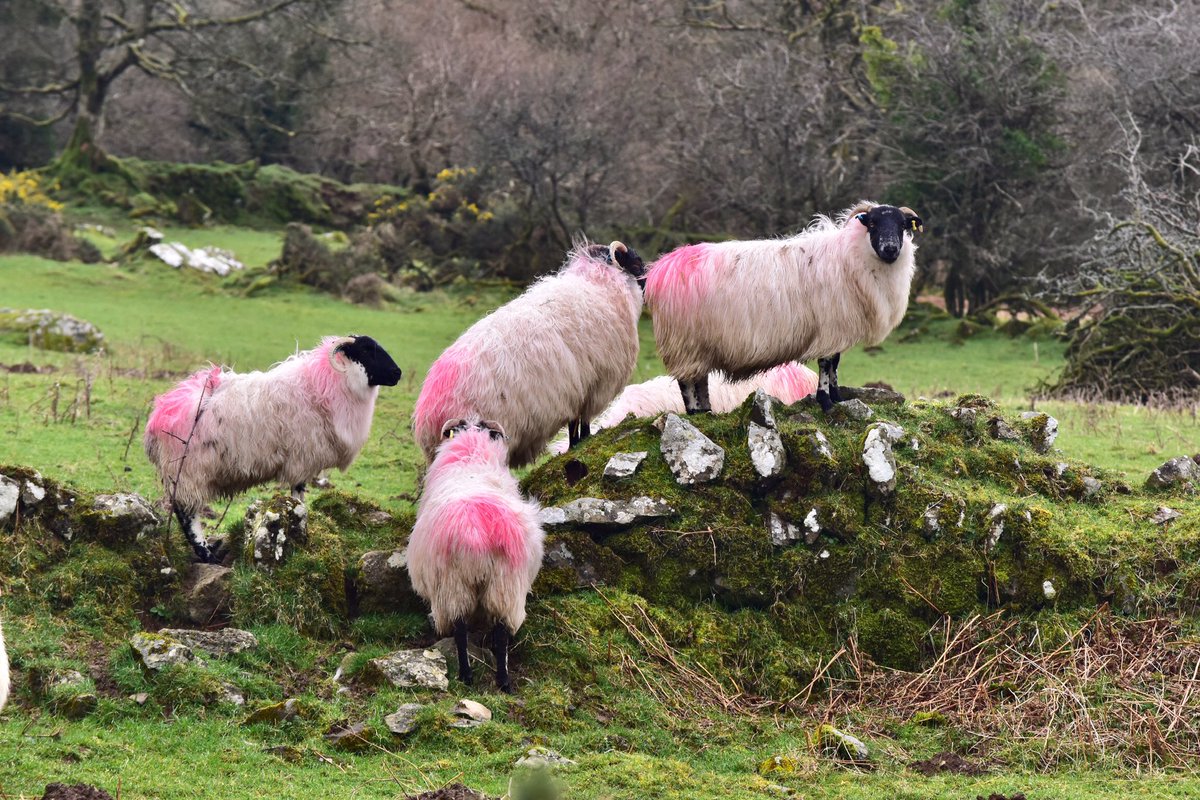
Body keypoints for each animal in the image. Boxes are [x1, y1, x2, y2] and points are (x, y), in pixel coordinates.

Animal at [144, 335, 402, 563]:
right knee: (186, 514)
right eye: (367, 350)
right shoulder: (301, 458)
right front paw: (301, 525)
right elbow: (298, 493)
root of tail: (161, 414)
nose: (397, 373)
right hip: (188, 471)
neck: (323, 386)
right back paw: (207, 554)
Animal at [406, 418, 545, 692]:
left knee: (460, 629)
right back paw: (503, 681)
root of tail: (478, 531)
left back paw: (466, 675)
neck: (471, 455)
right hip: (506, 584)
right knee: (501, 631)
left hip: (453, 583)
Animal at [412, 241, 645, 467]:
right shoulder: (596, 384)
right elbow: (583, 422)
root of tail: (431, 413)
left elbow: (573, 424)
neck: (600, 283)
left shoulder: (577, 388)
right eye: (636, 264)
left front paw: (573, 447)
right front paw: (583, 442)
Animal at [644, 201, 923, 413]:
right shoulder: (829, 326)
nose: (890, 249)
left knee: (699, 379)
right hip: (683, 341)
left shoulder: (838, 329)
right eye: (873, 224)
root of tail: (660, 269)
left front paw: (836, 397)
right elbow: (826, 364)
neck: (850, 254)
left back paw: (707, 412)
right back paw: (694, 413)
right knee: (686, 383)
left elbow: (835, 363)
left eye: (902, 225)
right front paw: (826, 402)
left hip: (697, 345)